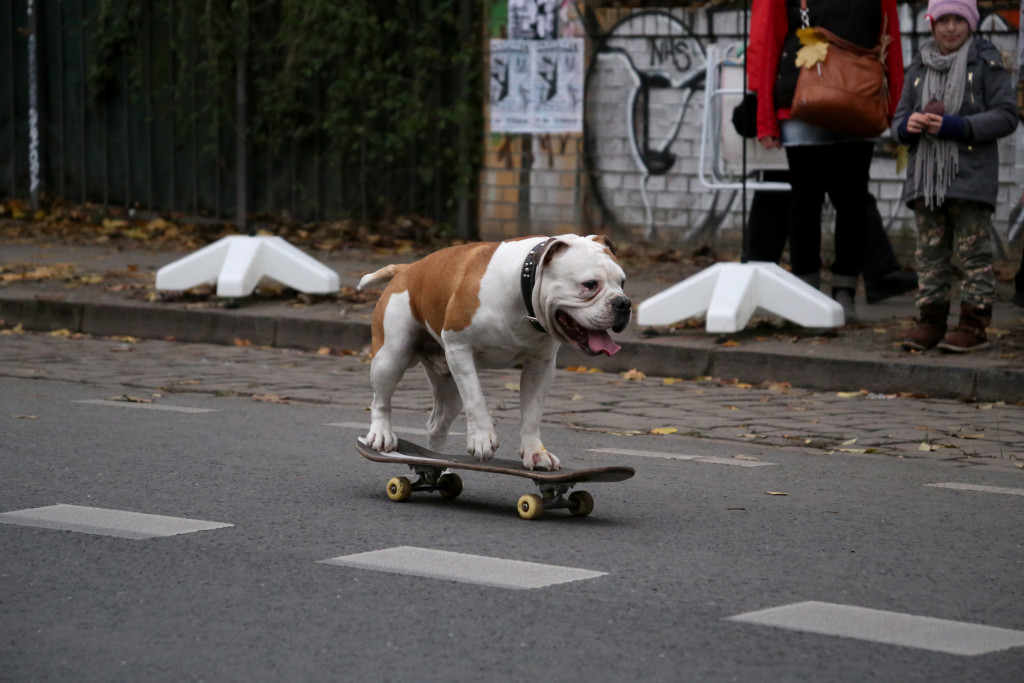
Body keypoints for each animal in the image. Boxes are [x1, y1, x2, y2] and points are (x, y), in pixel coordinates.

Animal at [360, 235, 630, 471]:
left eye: (623, 283)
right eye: (590, 285)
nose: (623, 303)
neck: (522, 288)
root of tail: (407, 269)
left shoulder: (540, 366)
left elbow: (532, 412)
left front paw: (535, 452)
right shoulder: (460, 347)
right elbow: (476, 398)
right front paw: (481, 438)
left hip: (448, 388)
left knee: (437, 424)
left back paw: (436, 462)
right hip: (391, 357)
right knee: (380, 401)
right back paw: (382, 434)